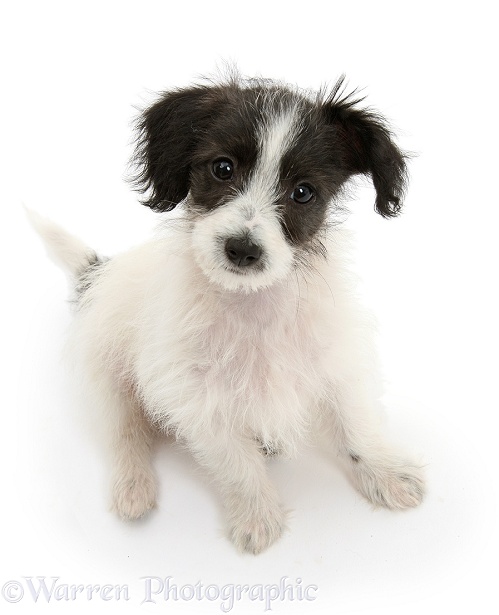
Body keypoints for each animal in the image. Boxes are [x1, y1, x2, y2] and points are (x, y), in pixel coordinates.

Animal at [29, 74, 424, 556]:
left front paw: (387, 475)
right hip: (108, 378)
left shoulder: (336, 364)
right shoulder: (198, 398)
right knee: (125, 434)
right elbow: (238, 465)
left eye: (303, 193)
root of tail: (99, 275)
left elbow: (356, 428)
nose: (242, 249)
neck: (251, 303)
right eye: (223, 168)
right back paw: (133, 486)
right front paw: (257, 517)